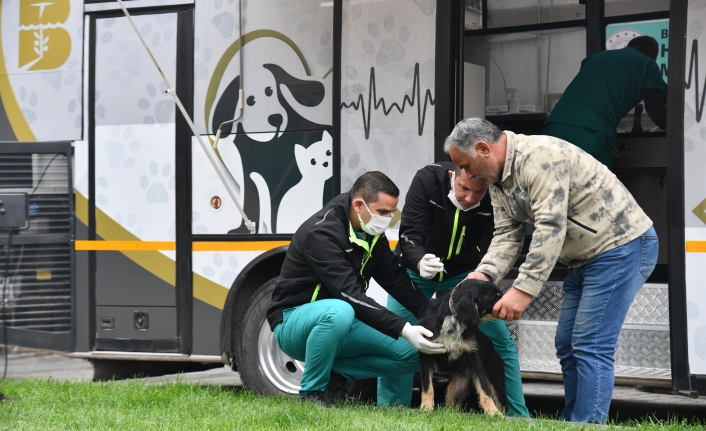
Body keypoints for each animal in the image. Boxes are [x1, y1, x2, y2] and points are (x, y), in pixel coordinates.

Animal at [416, 278, 508, 416]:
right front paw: (426, 408)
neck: (454, 320)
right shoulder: (426, 354)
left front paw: (493, 413)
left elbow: (484, 390)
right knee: (450, 405)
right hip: (457, 386)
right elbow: (428, 386)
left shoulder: (475, 359)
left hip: (494, 380)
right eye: (495, 298)